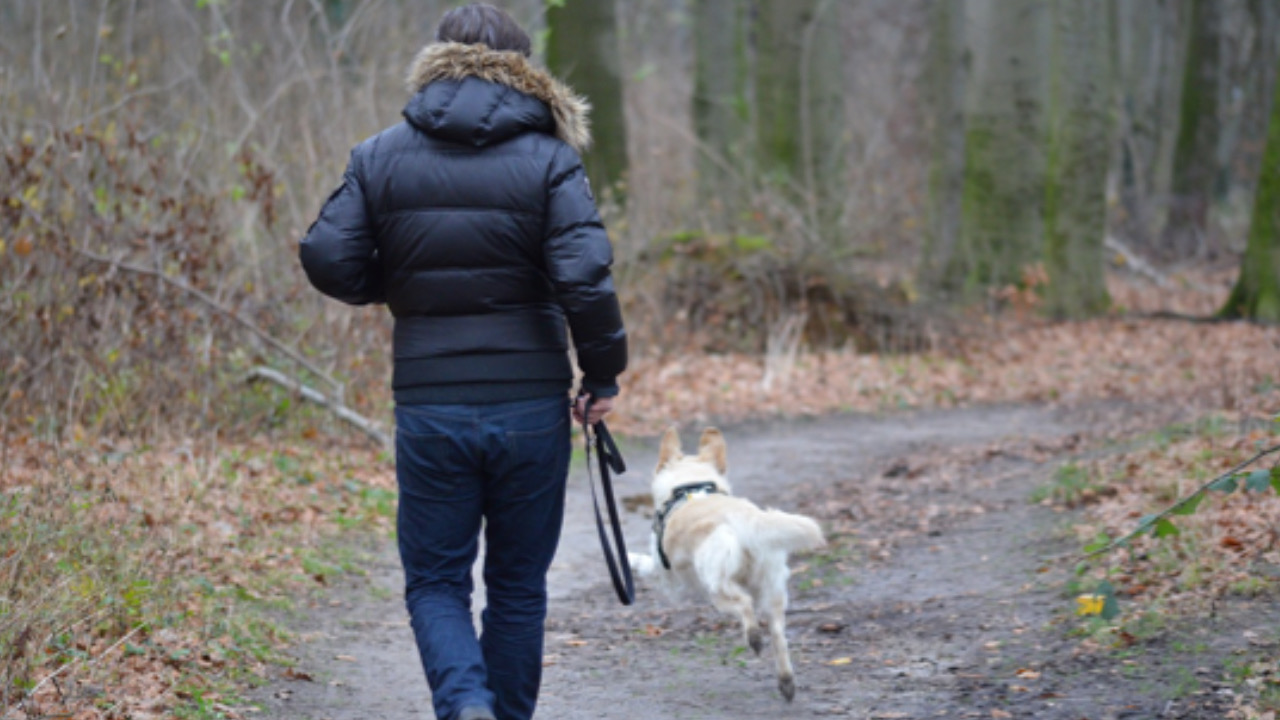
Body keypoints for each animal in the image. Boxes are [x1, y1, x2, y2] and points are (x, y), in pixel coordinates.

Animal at [624, 422, 824, 696]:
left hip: (716, 587)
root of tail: (745, 520)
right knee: (778, 636)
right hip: (772, 590)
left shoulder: (664, 573)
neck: (690, 487)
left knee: (745, 605)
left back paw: (754, 638)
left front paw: (626, 555)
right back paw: (786, 681)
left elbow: (643, 562)